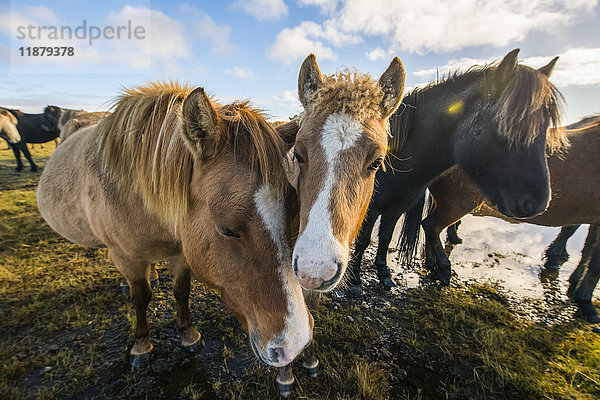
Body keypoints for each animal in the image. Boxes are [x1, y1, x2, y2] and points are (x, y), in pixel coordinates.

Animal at [36, 81, 314, 368]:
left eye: (293, 210)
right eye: (225, 229)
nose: (295, 342)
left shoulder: (183, 251)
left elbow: (181, 291)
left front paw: (187, 334)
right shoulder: (128, 257)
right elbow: (140, 298)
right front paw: (141, 345)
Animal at [350, 49, 564, 294]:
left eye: (545, 126)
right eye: (506, 125)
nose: (537, 203)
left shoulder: (396, 208)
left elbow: (384, 238)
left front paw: (384, 273)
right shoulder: (371, 209)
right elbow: (364, 240)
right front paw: (354, 280)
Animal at [418, 118, 600, 322]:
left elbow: (587, 251)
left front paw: (576, 284)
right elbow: (594, 263)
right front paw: (585, 303)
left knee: (433, 227)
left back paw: (433, 263)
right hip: (458, 202)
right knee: (432, 225)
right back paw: (443, 269)